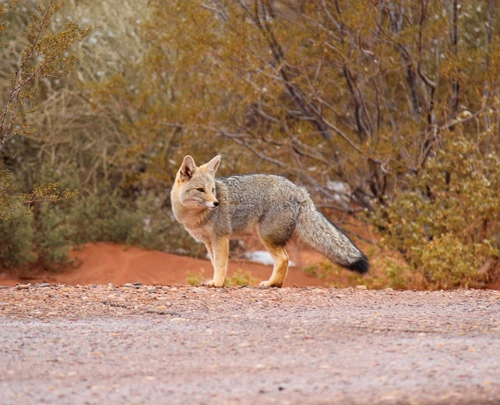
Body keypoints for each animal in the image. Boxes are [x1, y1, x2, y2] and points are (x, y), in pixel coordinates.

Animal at [170, 155, 370, 288]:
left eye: (212, 190)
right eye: (200, 190)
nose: (216, 203)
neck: (193, 216)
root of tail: (299, 190)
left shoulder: (220, 237)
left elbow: (220, 264)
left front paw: (218, 284)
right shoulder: (209, 241)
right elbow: (213, 263)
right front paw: (214, 281)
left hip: (266, 237)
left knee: (284, 259)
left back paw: (271, 284)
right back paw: (276, 284)